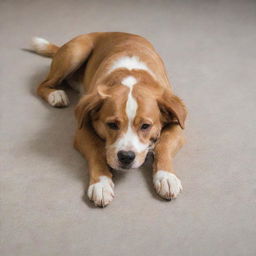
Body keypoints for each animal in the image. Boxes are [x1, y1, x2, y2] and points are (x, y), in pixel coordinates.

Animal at [31, 32, 187, 208]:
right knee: (42, 84)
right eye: (111, 125)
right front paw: (101, 183)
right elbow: (96, 150)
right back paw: (55, 95)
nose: (126, 157)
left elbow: (163, 145)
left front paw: (166, 177)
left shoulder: (178, 125)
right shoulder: (82, 129)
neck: (131, 76)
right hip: (76, 52)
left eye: (146, 126)